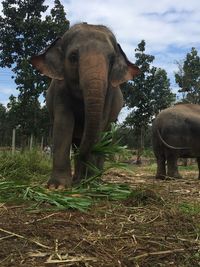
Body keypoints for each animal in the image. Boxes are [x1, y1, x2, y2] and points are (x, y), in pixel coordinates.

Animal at [31, 23, 141, 191]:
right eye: (73, 57)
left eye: (111, 59)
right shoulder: (60, 90)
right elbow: (63, 124)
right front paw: (57, 187)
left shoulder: (109, 94)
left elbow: (99, 126)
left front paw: (89, 183)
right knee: (77, 142)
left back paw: (93, 180)